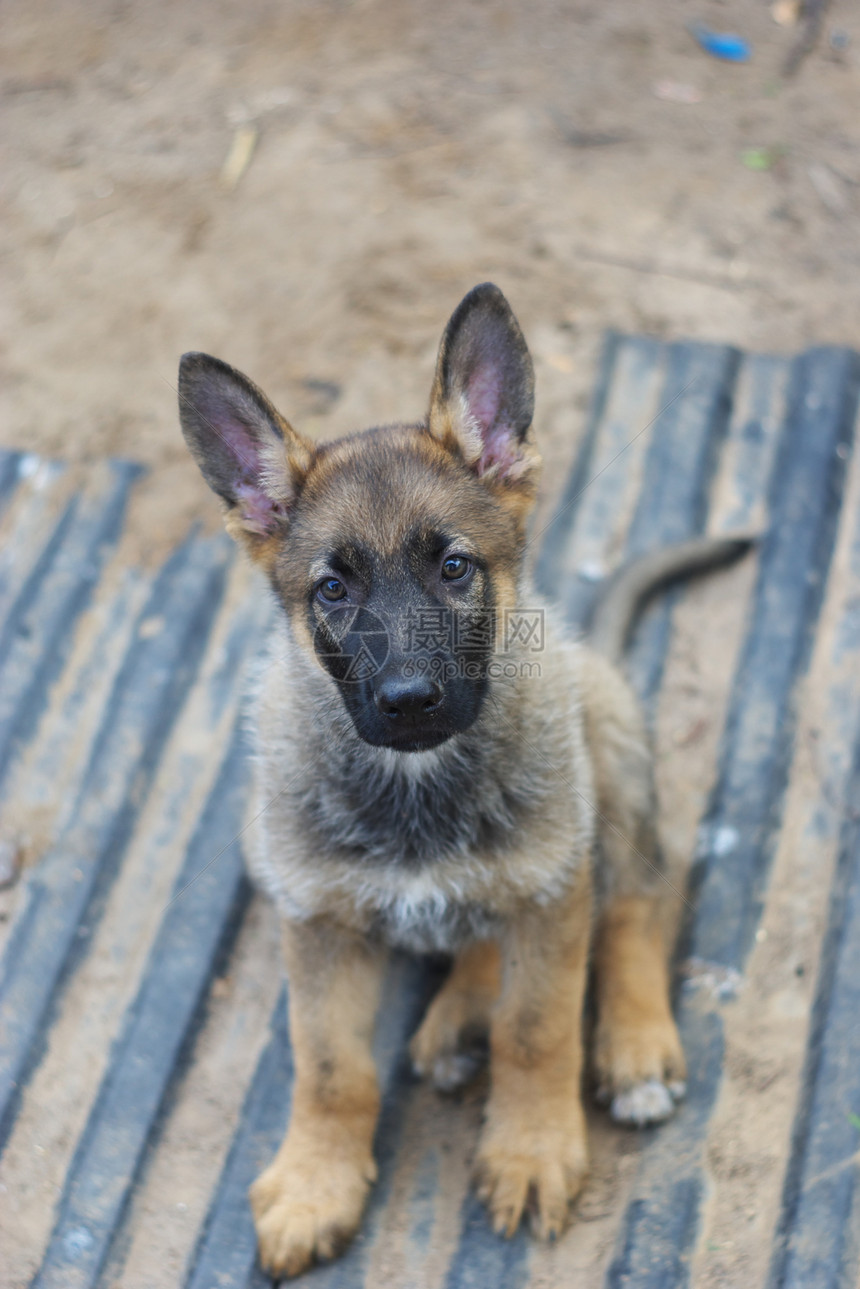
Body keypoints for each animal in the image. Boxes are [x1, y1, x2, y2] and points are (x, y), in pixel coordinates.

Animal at [176, 284, 747, 1278]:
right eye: (333, 590)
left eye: (453, 568)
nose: (409, 701)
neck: (417, 784)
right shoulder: (315, 920)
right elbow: (330, 1066)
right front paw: (318, 1182)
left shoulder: (554, 891)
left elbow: (538, 1029)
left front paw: (532, 1148)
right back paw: (460, 1010)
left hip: (603, 761)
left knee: (640, 897)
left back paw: (635, 1045)